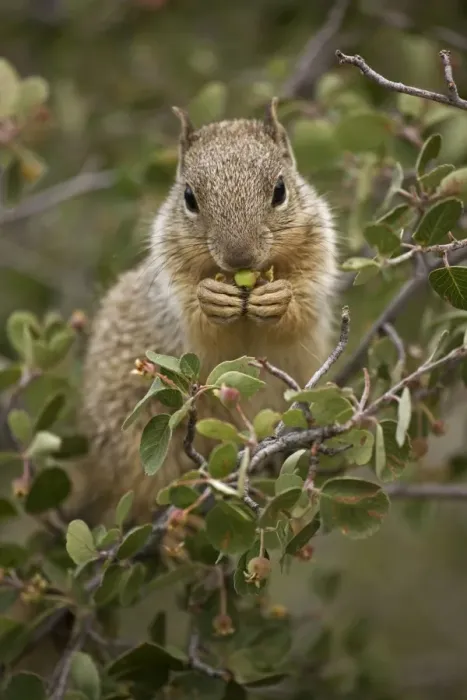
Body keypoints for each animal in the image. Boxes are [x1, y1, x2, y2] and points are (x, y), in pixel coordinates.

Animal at [65, 97, 338, 527]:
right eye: (189, 198)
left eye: (280, 190)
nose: (239, 256)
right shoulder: (169, 286)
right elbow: (195, 317)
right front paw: (212, 298)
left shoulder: (319, 252)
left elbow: (304, 304)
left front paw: (279, 297)